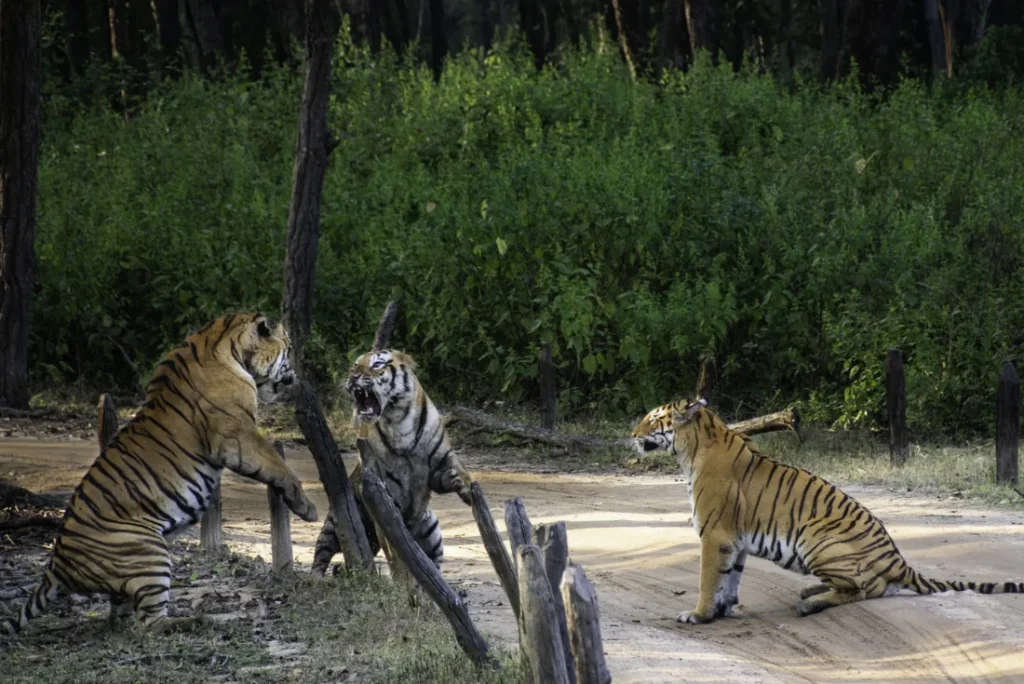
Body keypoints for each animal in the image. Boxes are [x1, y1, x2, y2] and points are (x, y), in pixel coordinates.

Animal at [1, 313, 318, 636]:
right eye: (288, 348)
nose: (295, 374)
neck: (224, 342)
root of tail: (56, 565)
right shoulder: (238, 439)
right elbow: (280, 467)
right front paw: (307, 509)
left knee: (120, 619)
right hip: (149, 552)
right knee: (149, 624)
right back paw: (205, 619)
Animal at [310, 349, 471, 578]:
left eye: (377, 364)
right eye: (355, 366)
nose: (353, 377)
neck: (399, 420)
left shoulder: (441, 459)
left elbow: (457, 468)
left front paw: (463, 485)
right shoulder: (384, 494)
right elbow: (395, 551)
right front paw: (402, 579)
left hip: (430, 524)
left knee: (433, 564)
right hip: (335, 524)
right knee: (321, 554)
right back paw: (315, 577)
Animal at [632, 397, 1024, 624]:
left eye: (653, 419)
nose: (632, 434)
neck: (691, 448)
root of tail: (898, 559)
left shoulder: (715, 535)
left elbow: (707, 579)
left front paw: (698, 614)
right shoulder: (735, 540)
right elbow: (730, 578)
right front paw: (721, 610)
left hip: (815, 537)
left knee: (865, 589)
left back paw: (808, 604)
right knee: (872, 587)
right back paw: (810, 593)